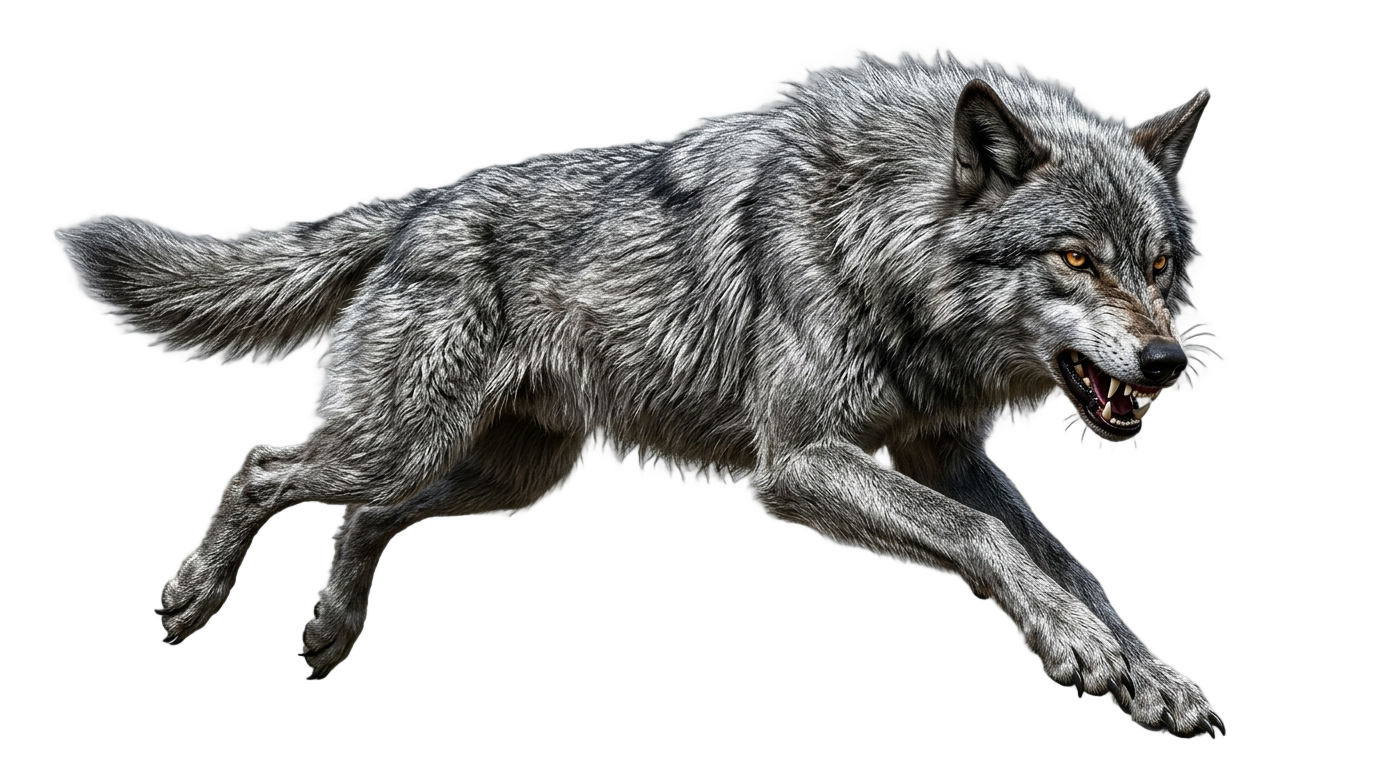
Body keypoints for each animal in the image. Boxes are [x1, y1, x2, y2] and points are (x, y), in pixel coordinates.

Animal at [64, 61, 1222, 736]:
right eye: (1073, 257)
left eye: (1160, 264)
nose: (1167, 364)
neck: (881, 246)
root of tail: (420, 203)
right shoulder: (800, 462)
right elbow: (982, 540)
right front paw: (1081, 649)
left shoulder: (945, 454)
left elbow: (1056, 554)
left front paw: (1148, 672)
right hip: (403, 439)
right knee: (270, 468)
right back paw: (191, 600)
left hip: (504, 476)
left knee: (366, 519)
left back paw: (327, 630)